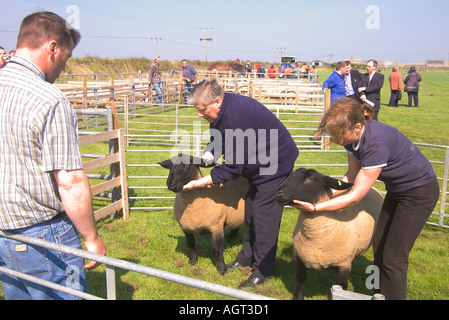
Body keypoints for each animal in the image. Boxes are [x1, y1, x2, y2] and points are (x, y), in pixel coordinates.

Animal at [272, 168, 382, 300]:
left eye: (311, 179)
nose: (278, 193)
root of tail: (373, 188)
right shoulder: (299, 257)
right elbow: (300, 281)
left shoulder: (344, 264)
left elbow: (342, 287)